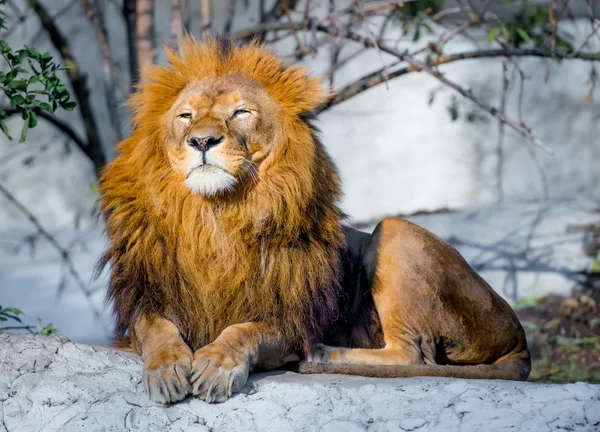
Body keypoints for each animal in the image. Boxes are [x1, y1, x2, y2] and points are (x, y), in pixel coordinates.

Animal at [98, 37, 528, 404]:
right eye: (186, 116)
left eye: (241, 112)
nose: (202, 140)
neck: (216, 216)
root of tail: (520, 336)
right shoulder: (145, 298)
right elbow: (157, 329)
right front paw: (167, 368)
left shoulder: (289, 318)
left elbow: (243, 331)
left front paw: (216, 364)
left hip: (395, 230)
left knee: (415, 355)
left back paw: (323, 354)